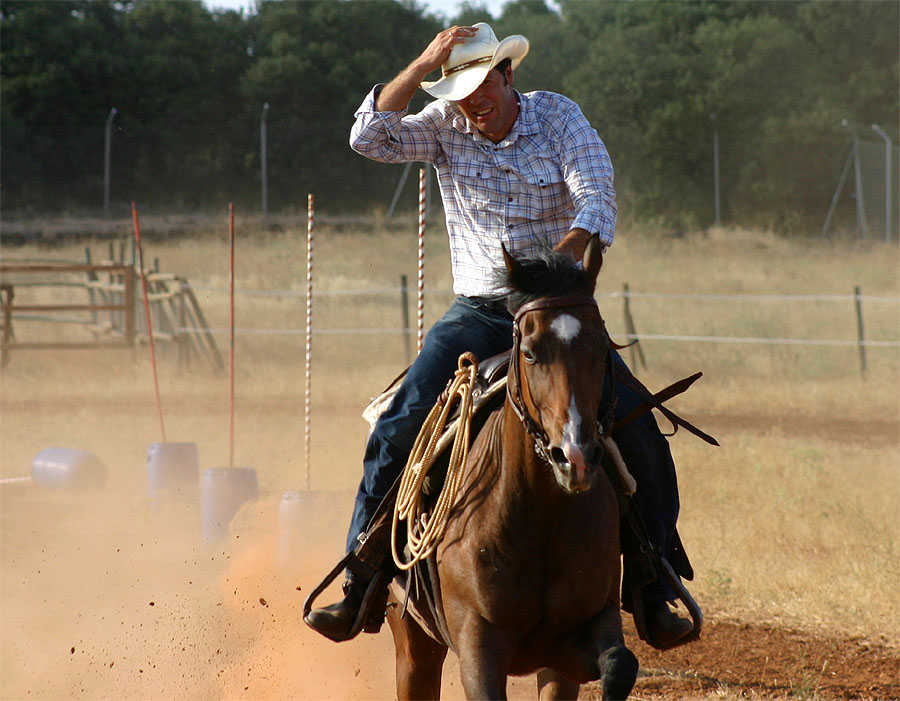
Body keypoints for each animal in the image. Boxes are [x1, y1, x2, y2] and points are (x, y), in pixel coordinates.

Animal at [386, 237, 640, 700]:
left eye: (602, 348)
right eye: (529, 352)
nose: (575, 457)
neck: (539, 518)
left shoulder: (579, 637)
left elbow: (619, 665)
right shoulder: (477, 641)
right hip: (412, 639)